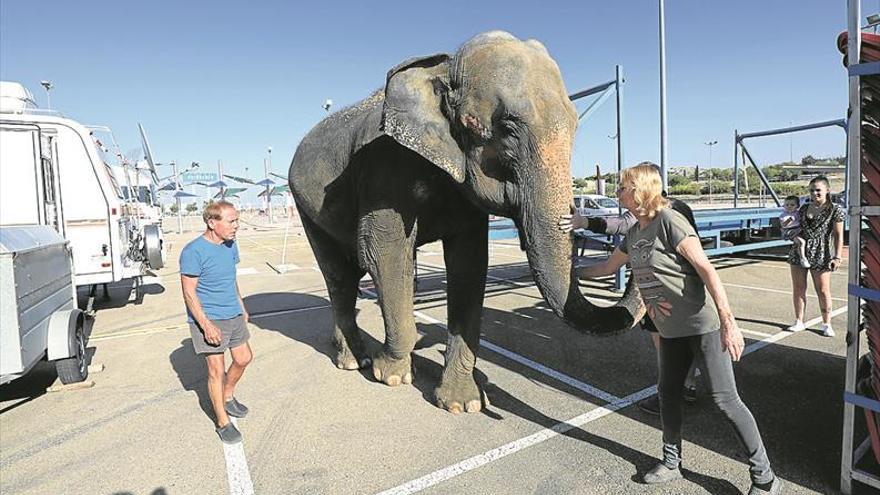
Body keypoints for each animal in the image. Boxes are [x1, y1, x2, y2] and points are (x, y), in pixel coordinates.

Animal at [292, 29, 644, 412]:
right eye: (508, 128)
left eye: (576, 124)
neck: (444, 67)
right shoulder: (382, 168)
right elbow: (383, 253)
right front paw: (392, 376)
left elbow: (469, 264)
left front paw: (463, 403)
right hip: (305, 205)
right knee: (339, 275)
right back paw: (356, 360)